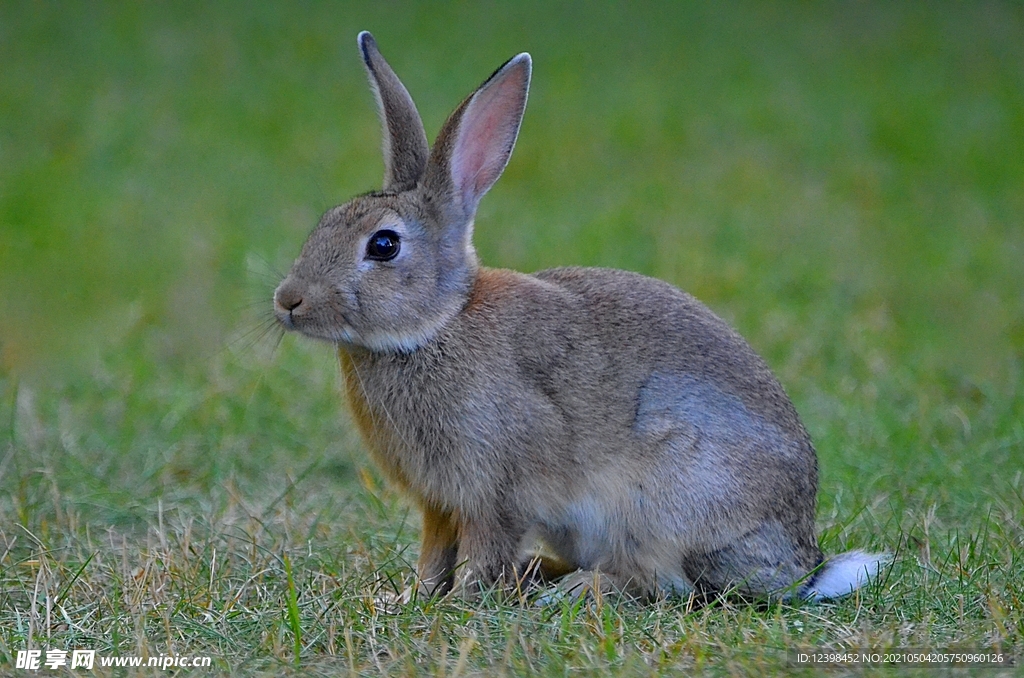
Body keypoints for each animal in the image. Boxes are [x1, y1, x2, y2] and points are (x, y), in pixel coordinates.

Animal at [274, 31, 888, 602]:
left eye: (383, 246)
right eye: (326, 222)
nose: (288, 301)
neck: (438, 324)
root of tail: (803, 567)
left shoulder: (497, 487)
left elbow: (482, 550)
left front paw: (461, 602)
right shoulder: (440, 503)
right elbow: (434, 553)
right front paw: (410, 598)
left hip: (661, 502)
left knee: (665, 584)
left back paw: (570, 589)